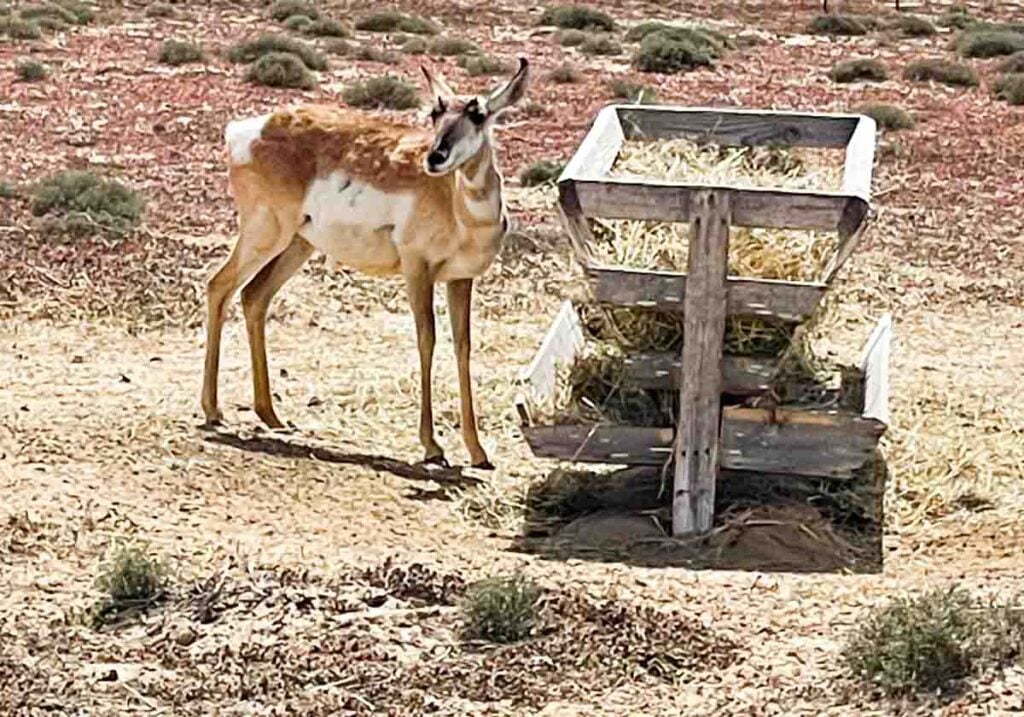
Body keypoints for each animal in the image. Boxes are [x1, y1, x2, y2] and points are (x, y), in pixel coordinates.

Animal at [202, 57, 532, 471]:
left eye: (478, 114)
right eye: (435, 112)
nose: (434, 157)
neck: (458, 207)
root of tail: (250, 128)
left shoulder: (460, 279)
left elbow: (463, 347)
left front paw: (477, 451)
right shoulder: (417, 269)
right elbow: (427, 339)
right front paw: (432, 446)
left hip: (297, 245)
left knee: (253, 297)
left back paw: (272, 415)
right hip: (265, 235)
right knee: (219, 286)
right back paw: (213, 410)